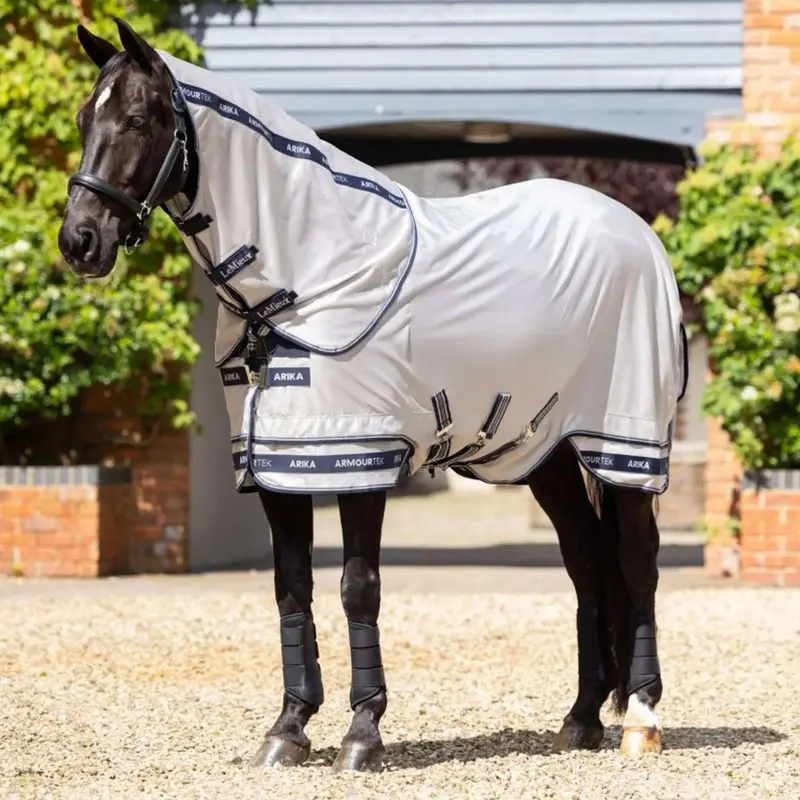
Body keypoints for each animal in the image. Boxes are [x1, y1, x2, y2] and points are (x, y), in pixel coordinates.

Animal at [58, 18, 686, 772]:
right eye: (83, 117)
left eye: (138, 119)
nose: (79, 240)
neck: (310, 274)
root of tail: (637, 234)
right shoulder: (278, 468)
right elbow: (291, 588)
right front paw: (288, 728)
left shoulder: (359, 458)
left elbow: (358, 589)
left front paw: (362, 733)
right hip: (549, 454)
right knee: (586, 562)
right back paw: (582, 719)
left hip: (623, 446)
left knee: (638, 562)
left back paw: (641, 720)